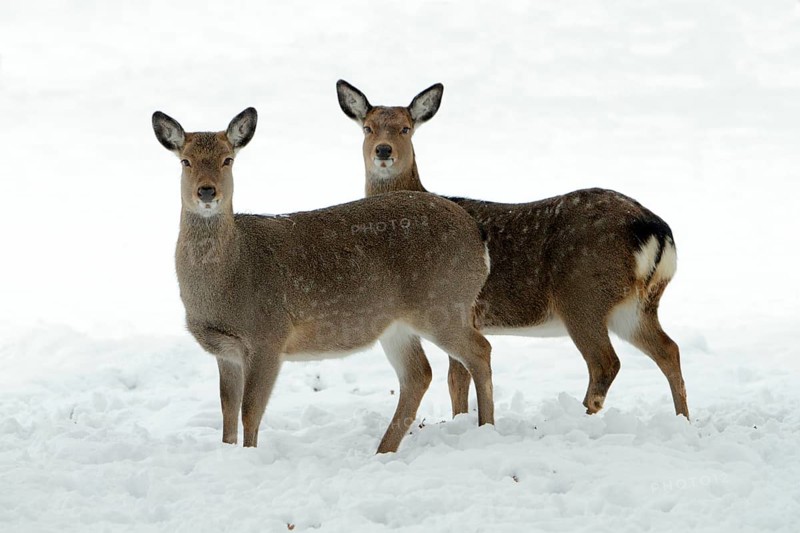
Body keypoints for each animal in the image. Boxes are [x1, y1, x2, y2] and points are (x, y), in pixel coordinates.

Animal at [151, 107, 495, 453]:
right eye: (186, 161)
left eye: (228, 160)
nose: (207, 191)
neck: (230, 275)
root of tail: (478, 235)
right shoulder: (226, 351)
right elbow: (226, 412)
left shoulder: (269, 335)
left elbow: (250, 411)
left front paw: (249, 455)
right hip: (398, 323)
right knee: (418, 374)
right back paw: (382, 450)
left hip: (443, 302)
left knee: (480, 350)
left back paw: (486, 427)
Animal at [337, 80, 689, 420]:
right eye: (367, 127)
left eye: (405, 128)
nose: (384, 150)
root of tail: (655, 230)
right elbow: (457, 379)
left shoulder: (459, 310)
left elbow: (456, 378)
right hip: (636, 305)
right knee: (669, 350)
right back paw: (682, 419)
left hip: (583, 294)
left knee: (606, 362)